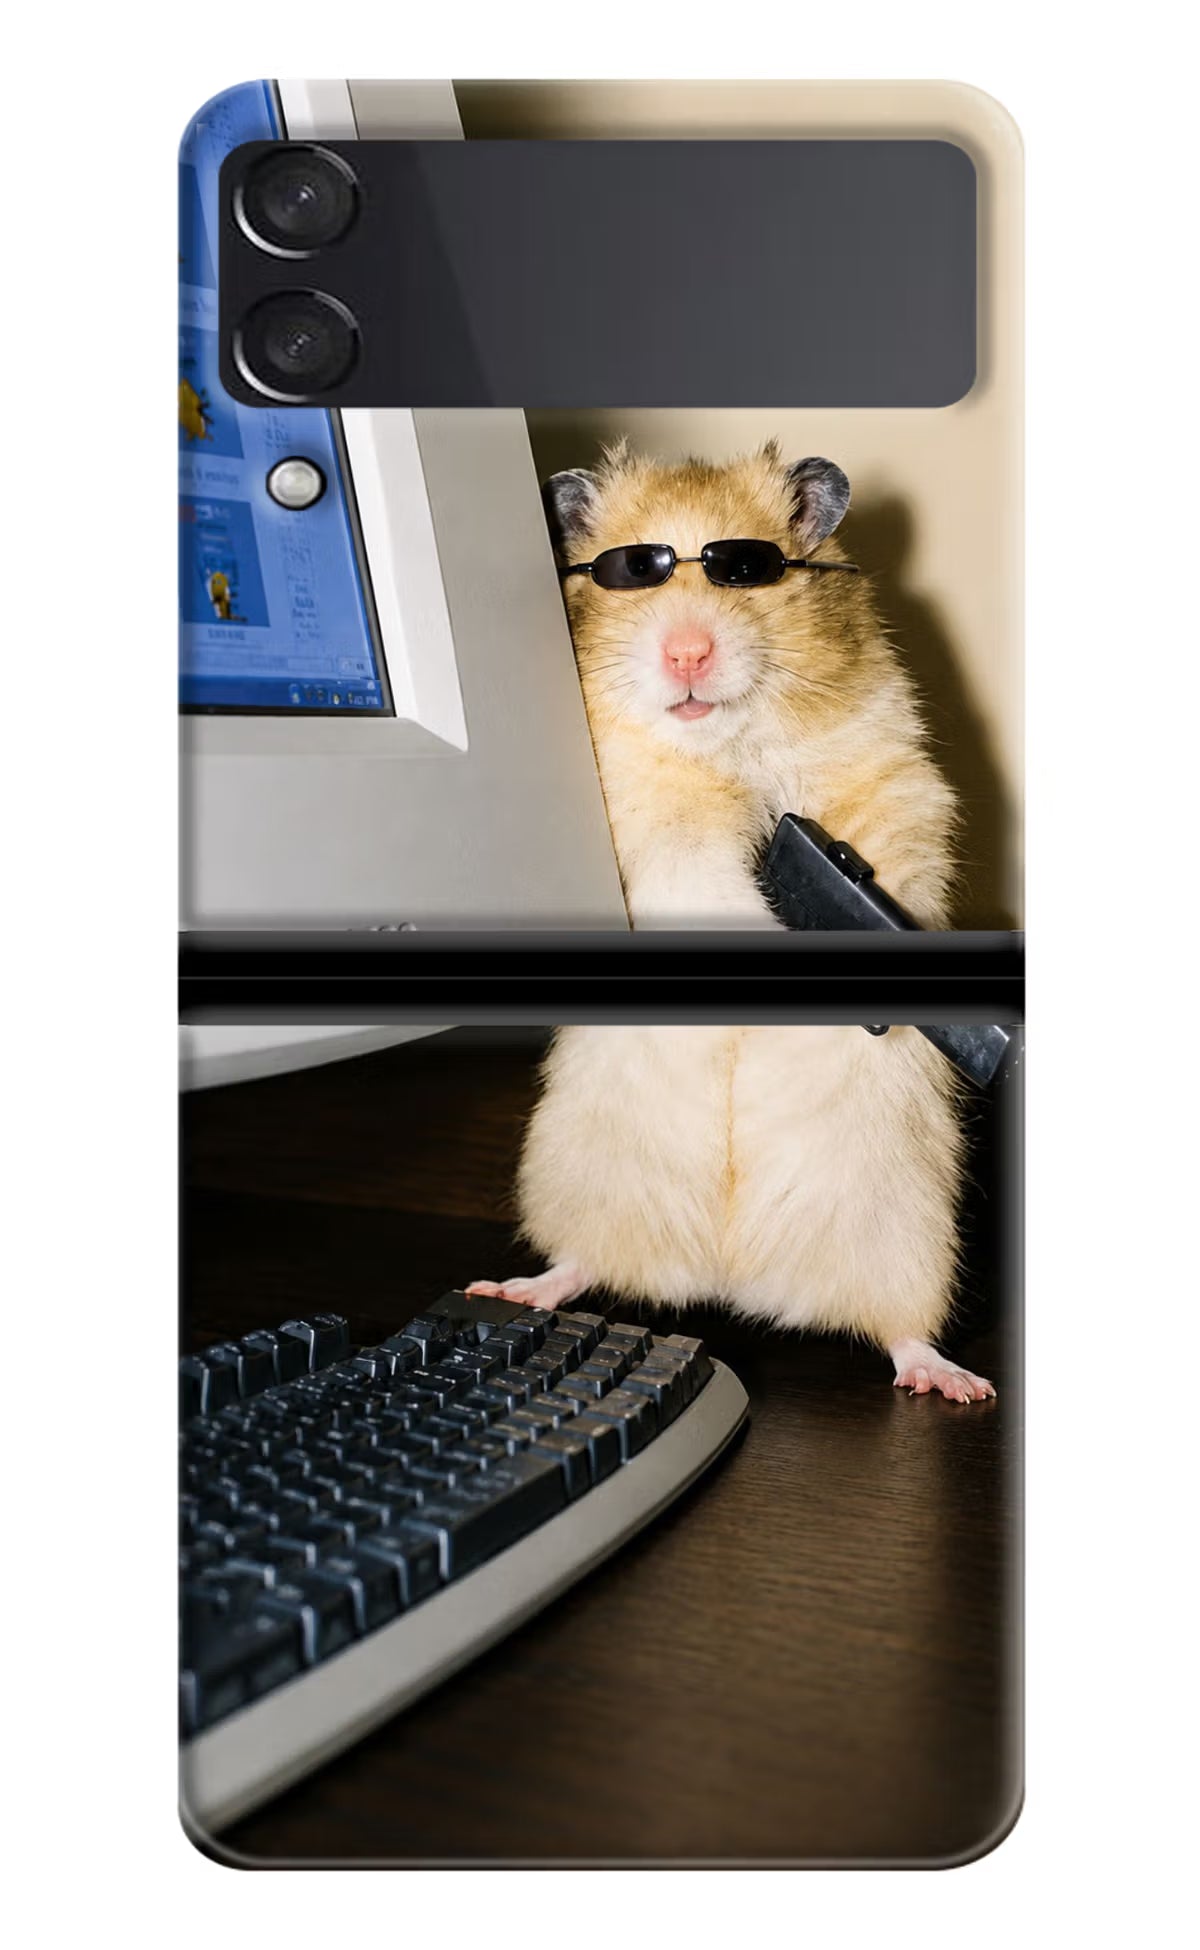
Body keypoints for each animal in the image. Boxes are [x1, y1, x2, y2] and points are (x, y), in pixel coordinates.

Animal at [468, 446, 993, 1402]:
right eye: (633, 571)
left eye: (745, 570)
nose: (687, 652)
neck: (726, 746)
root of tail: (730, 1275)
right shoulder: (645, 825)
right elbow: (700, 868)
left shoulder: (894, 787)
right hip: (582, 1174)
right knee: (581, 1263)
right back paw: (513, 1287)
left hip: (905, 1229)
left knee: (900, 1329)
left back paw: (954, 1382)